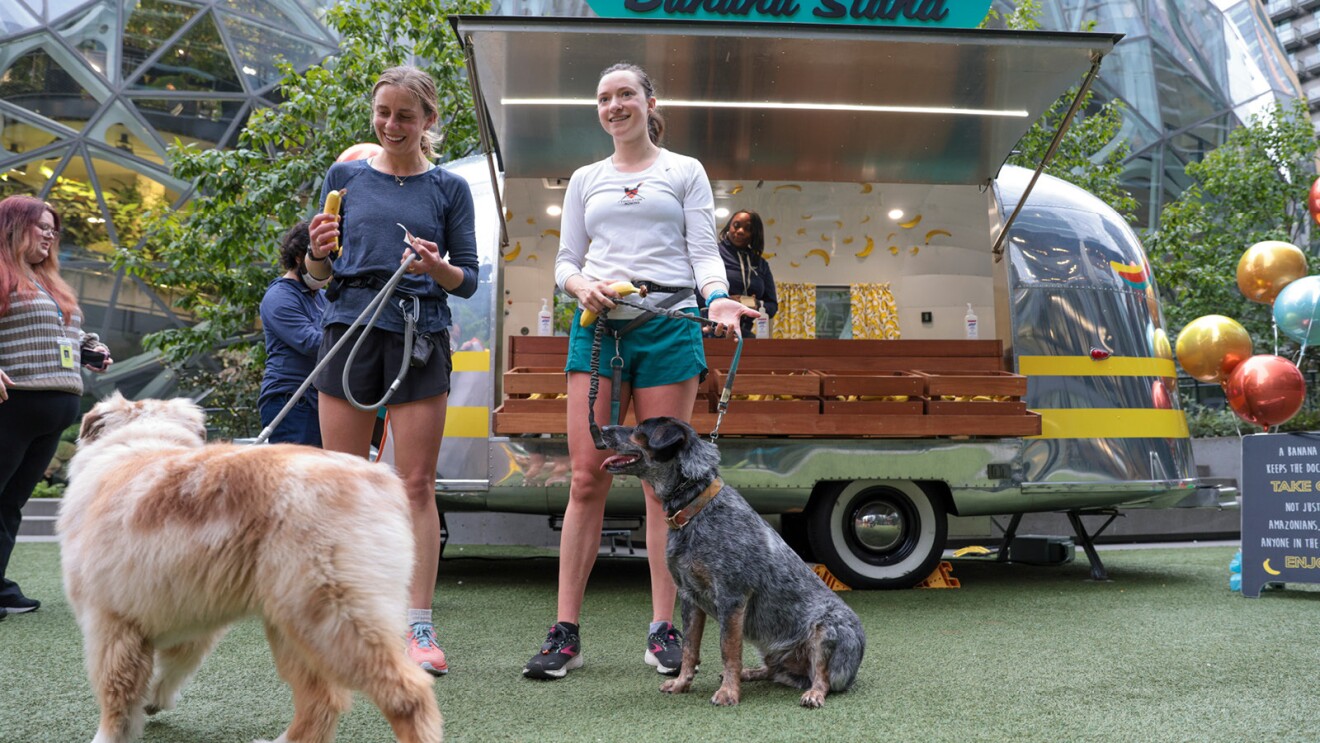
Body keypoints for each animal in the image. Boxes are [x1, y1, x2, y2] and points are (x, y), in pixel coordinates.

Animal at [59, 395, 440, 743]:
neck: (143, 440)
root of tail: (379, 478)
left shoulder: (109, 623)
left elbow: (116, 698)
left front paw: (109, 735)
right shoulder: (189, 619)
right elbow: (171, 669)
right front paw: (154, 701)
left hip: (332, 621)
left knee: (408, 695)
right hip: (292, 626)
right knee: (323, 701)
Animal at [599, 419, 865, 707]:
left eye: (639, 429)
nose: (602, 429)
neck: (695, 509)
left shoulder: (732, 597)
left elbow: (728, 649)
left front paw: (728, 692)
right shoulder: (689, 596)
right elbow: (690, 648)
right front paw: (682, 684)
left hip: (827, 630)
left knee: (822, 677)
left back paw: (813, 694)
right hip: (772, 650)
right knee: (773, 671)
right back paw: (750, 673)